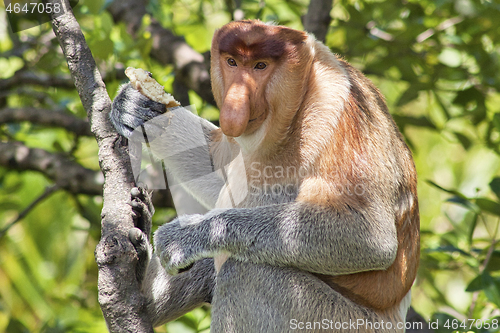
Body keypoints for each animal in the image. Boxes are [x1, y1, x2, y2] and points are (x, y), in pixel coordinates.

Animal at [111, 19, 420, 330]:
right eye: (232, 62)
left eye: (261, 66)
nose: (234, 106)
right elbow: (220, 171)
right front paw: (136, 107)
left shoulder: (339, 105)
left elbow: (370, 235)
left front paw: (186, 235)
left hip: (338, 320)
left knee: (246, 272)